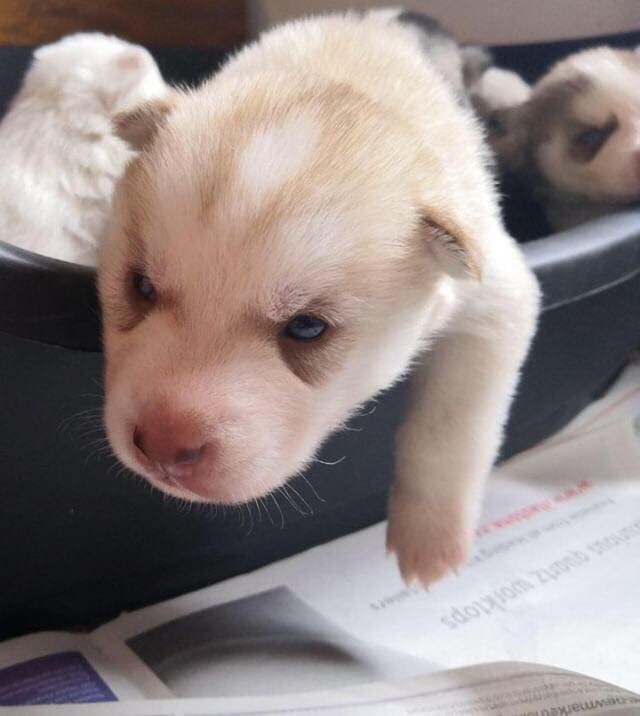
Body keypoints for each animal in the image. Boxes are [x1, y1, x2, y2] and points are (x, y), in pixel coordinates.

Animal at [101, 11, 540, 588]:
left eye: (308, 327)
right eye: (141, 287)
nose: (163, 445)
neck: (344, 74)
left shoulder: (493, 297)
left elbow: (450, 425)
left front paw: (430, 541)